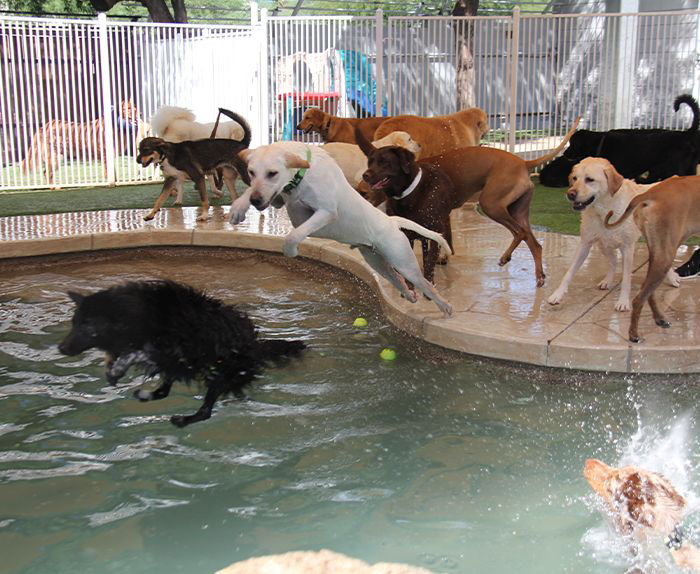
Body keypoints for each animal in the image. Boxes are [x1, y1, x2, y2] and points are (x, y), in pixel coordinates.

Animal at [56, 282, 304, 430]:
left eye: (87, 325)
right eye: (74, 323)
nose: (61, 348)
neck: (139, 316)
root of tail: (254, 345)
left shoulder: (172, 350)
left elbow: (139, 353)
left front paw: (117, 367)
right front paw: (113, 367)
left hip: (222, 373)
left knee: (205, 411)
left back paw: (183, 420)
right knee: (164, 391)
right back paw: (146, 395)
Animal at [548, 158, 680, 312]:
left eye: (589, 179)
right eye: (574, 178)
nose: (570, 194)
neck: (604, 211)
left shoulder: (627, 248)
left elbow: (626, 279)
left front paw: (623, 302)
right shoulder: (585, 244)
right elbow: (568, 273)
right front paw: (557, 295)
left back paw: (672, 278)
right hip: (603, 244)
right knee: (613, 261)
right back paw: (607, 281)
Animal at [604, 176, 700, 344]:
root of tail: (651, 193)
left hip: (657, 251)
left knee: (647, 291)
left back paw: (659, 319)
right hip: (665, 253)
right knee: (638, 299)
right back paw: (634, 335)